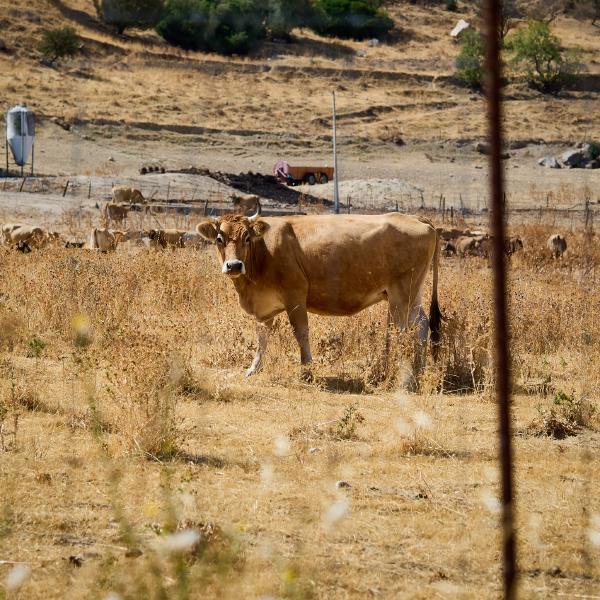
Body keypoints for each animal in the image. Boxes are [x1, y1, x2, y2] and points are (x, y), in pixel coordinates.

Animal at [196, 204, 441, 385]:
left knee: (400, 331)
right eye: (219, 239)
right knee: (421, 325)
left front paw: (306, 372)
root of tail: (417, 218)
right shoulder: (265, 306)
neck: (264, 250)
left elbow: (301, 333)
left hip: (401, 294)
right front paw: (253, 369)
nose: (234, 265)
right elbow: (262, 336)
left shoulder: (295, 295)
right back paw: (419, 372)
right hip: (412, 295)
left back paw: (395, 376)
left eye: (247, 237)